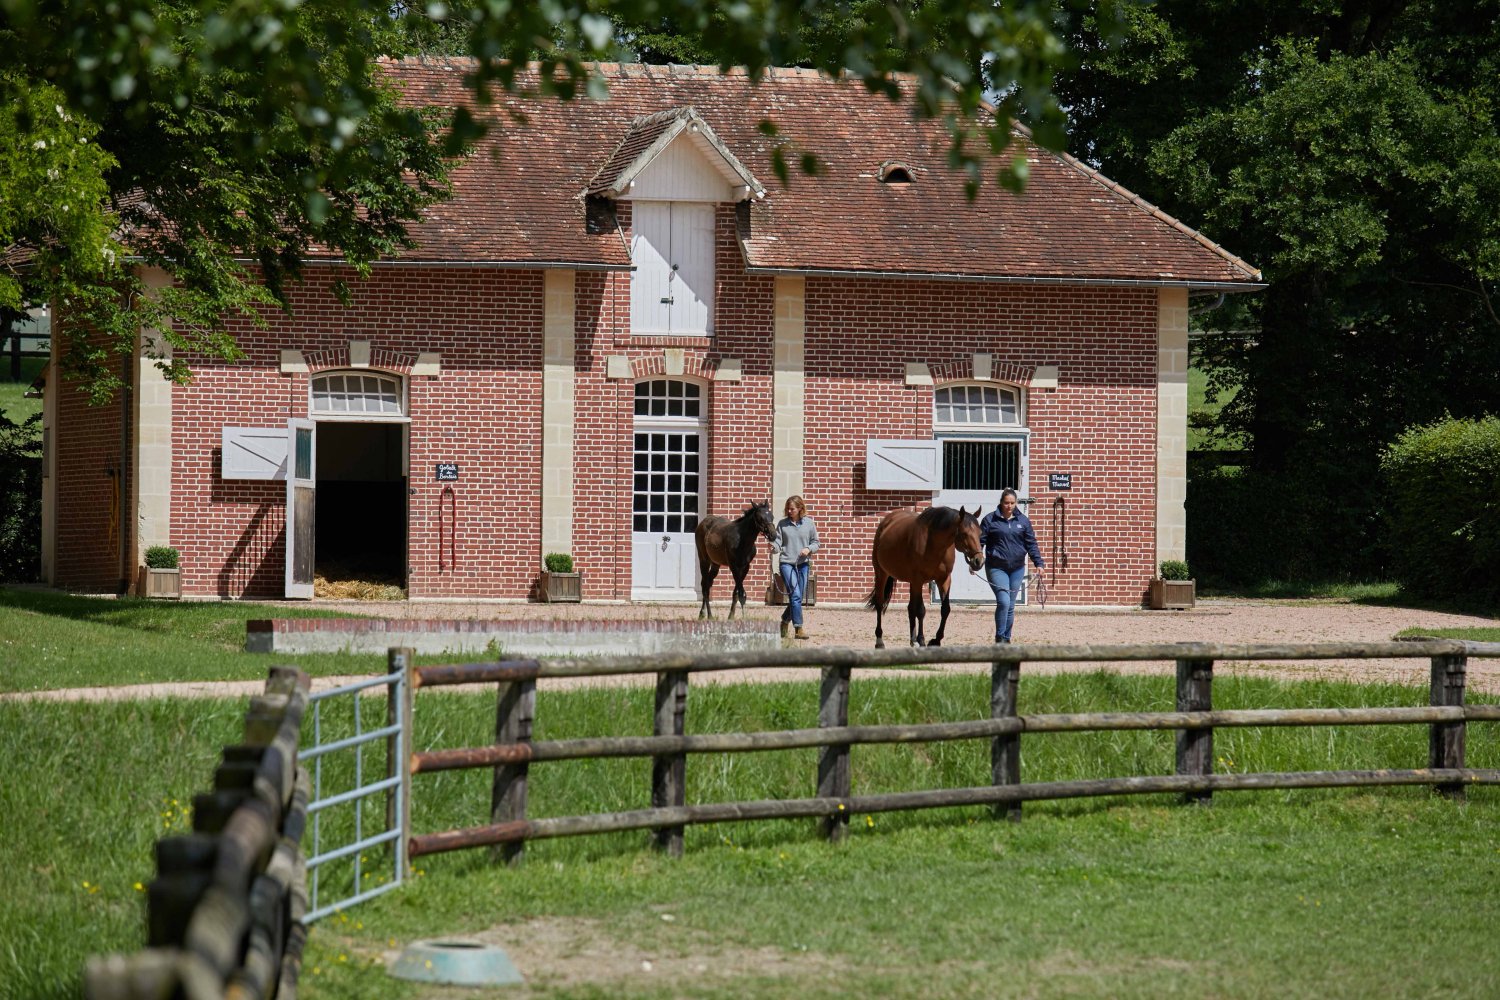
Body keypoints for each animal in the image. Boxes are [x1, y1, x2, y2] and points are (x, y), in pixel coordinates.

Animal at [866, 505, 984, 648]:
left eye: (980, 533)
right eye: (964, 533)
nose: (978, 561)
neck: (934, 544)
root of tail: (886, 521)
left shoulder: (944, 579)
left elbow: (945, 609)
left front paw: (936, 640)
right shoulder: (918, 580)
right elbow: (921, 610)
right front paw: (922, 640)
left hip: (911, 582)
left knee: (910, 607)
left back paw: (912, 640)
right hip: (882, 573)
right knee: (880, 603)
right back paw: (880, 641)